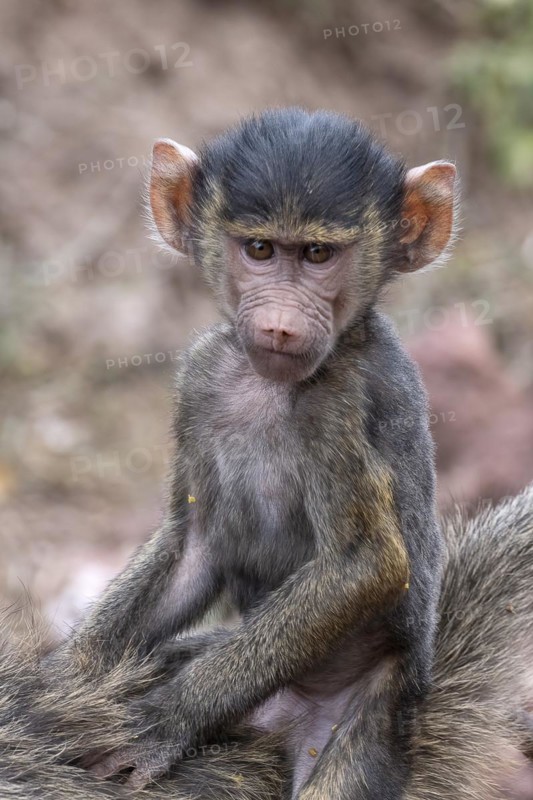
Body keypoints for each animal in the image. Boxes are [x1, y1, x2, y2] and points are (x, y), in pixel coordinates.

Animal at [37, 107, 460, 798]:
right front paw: (60, 683)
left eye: (318, 254)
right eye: (259, 249)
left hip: (372, 709)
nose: (282, 324)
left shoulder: (340, 403)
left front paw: (163, 720)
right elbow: (196, 541)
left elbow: (365, 563)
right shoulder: (201, 376)